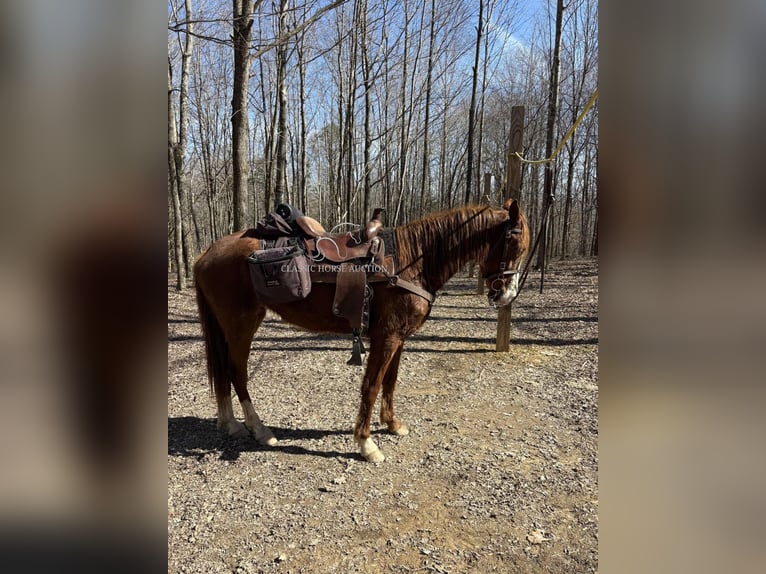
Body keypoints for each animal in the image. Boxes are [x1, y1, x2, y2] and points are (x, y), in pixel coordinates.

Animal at [194, 199, 528, 464]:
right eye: (515, 243)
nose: (507, 295)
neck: (411, 261)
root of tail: (206, 254)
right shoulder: (386, 338)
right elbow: (372, 385)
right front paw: (367, 444)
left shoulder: (399, 338)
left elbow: (390, 382)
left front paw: (392, 424)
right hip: (241, 324)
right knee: (237, 372)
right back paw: (260, 430)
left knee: (223, 372)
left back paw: (230, 423)